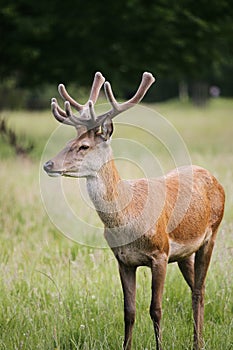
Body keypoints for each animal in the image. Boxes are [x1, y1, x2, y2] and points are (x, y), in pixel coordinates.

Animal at [42, 72, 225, 350]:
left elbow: (156, 309)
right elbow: (129, 311)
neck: (127, 219)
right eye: (68, 141)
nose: (48, 164)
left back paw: (198, 343)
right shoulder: (123, 260)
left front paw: (160, 345)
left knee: (199, 290)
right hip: (184, 254)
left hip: (211, 234)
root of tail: (214, 178)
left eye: (84, 146)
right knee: (196, 287)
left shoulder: (160, 253)